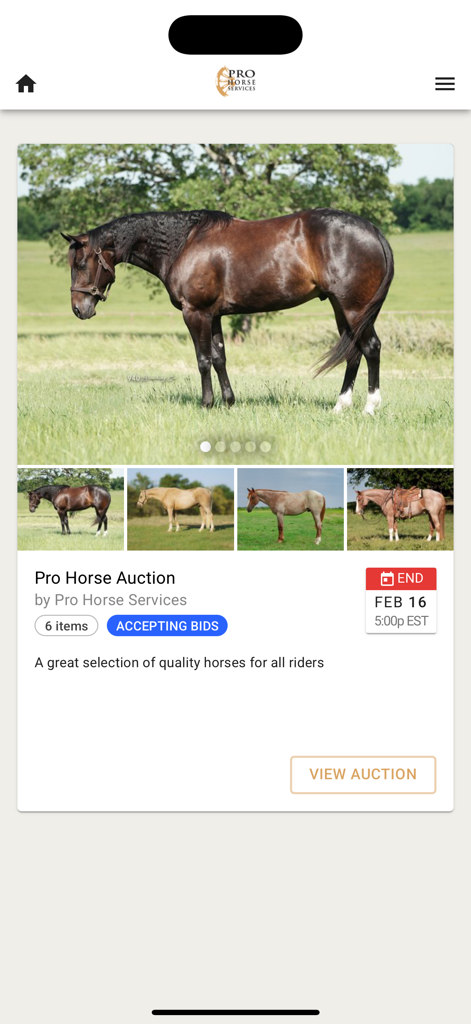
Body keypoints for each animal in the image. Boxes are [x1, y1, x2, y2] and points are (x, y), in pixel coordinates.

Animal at [62, 207, 394, 415]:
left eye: (81, 264)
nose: (78, 308)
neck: (183, 243)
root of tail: (373, 230)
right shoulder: (215, 315)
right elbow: (220, 358)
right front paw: (229, 402)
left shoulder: (196, 313)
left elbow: (203, 360)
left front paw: (207, 404)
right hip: (343, 309)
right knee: (353, 352)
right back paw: (340, 406)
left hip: (353, 308)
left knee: (371, 348)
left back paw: (370, 407)